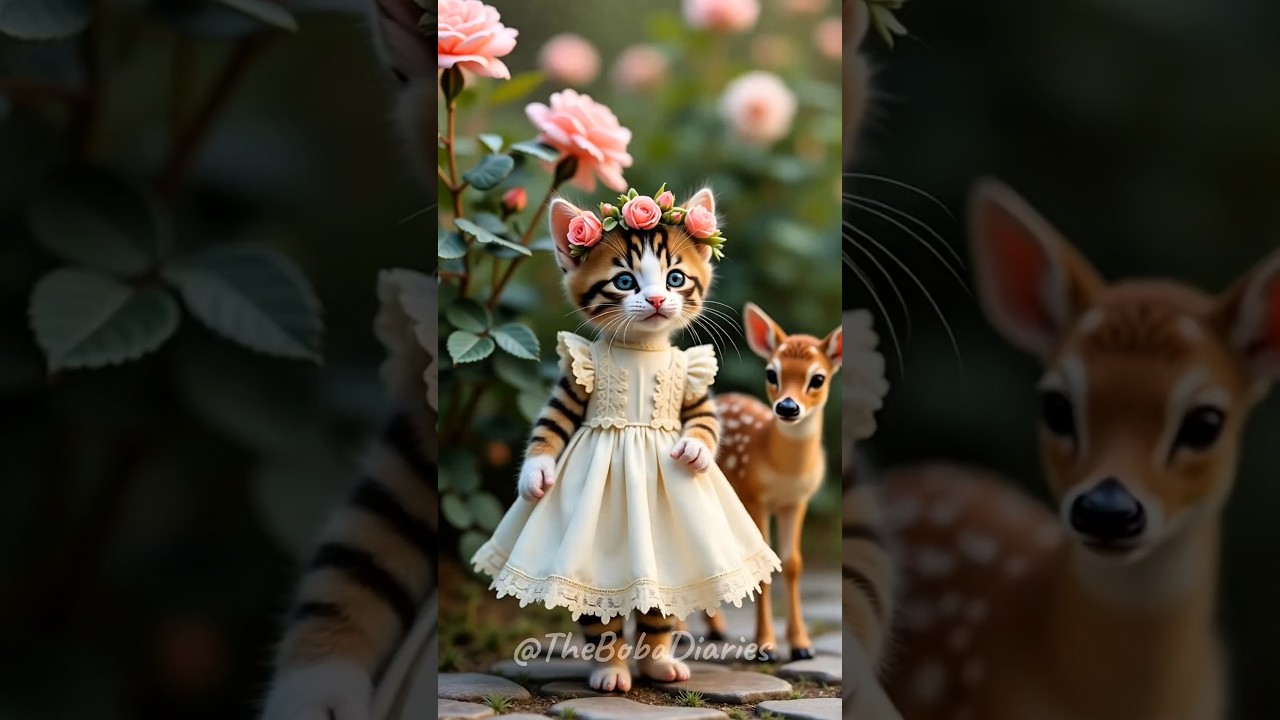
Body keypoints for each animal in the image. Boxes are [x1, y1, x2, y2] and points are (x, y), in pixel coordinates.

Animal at [696, 302, 847, 662]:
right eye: (771, 373)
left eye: (817, 378)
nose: (788, 407)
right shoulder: (755, 496)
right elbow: (765, 566)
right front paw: (766, 646)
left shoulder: (797, 501)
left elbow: (792, 564)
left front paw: (802, 646)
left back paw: (716, 629)